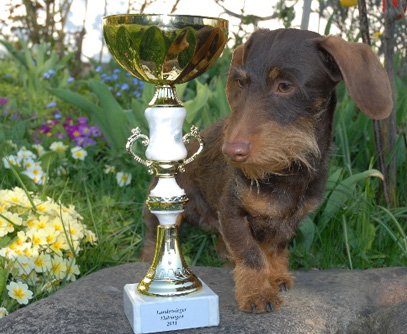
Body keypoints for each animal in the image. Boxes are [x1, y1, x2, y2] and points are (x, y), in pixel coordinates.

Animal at [139, 28, 392, 314]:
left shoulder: (290, 221)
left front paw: (276, 275)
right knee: (154, 232)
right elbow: (251, 253)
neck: (286, 169)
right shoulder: (232, 212)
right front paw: (257, 292)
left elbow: (273, 249)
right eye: (240, 82)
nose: (231, 151)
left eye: (285, 86)